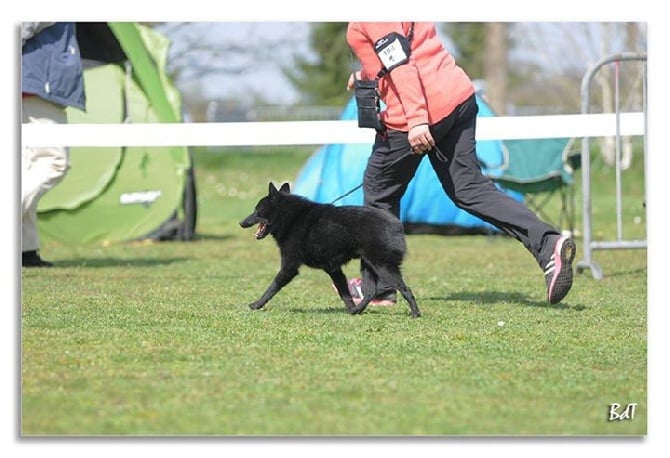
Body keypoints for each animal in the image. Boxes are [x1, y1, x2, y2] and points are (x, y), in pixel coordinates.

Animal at [240, 182, 420, 318]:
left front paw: (257, 304)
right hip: (368, 266)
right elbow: (344, 293)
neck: (290, 217)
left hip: (383, 266)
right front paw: (350, 308)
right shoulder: (334, 269)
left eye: (257, 210)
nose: (241, 223)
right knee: (370, 292)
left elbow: (272, 287)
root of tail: (396, 223)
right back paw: (357, 310)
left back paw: (415, 313)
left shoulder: (289, 267)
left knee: (406, 289)